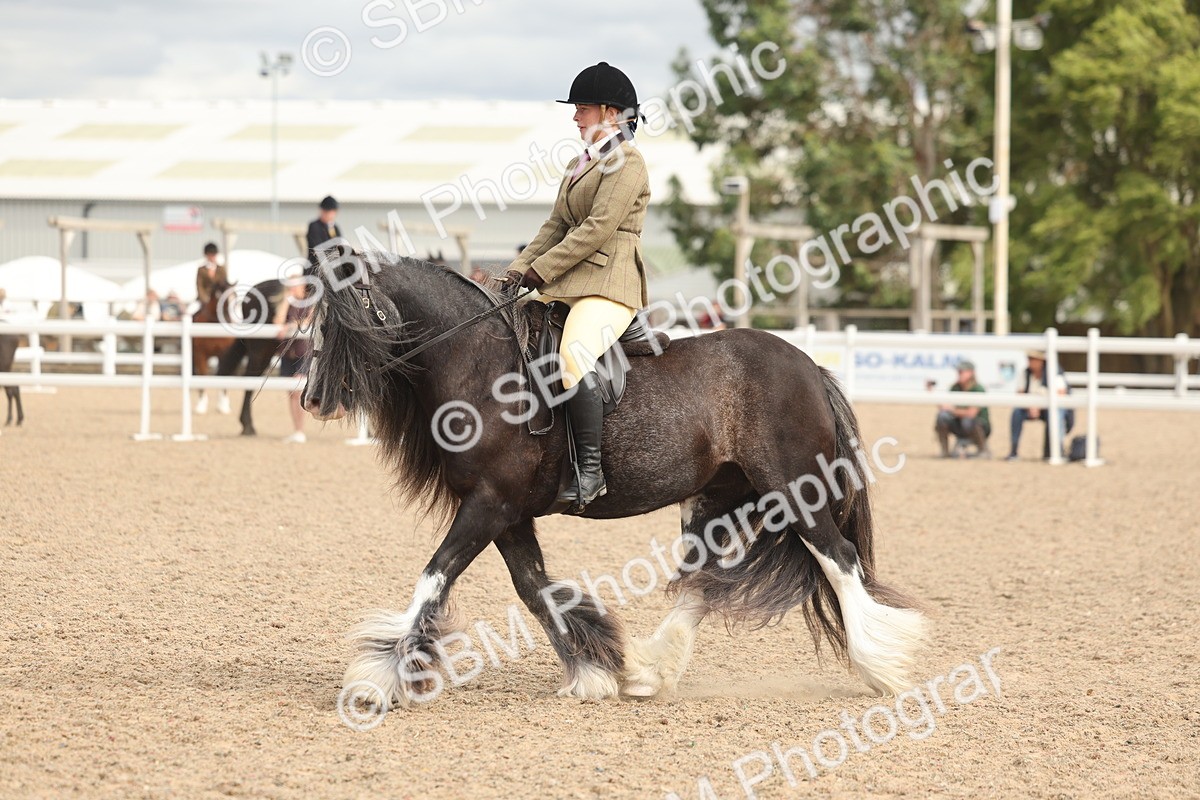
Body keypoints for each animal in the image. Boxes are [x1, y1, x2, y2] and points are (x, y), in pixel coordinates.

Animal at [191, 280, 234, 416]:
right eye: (219, 295)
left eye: (234, 296)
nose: (227, 319)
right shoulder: (200, 355)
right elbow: (203, 375)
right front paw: (201, 405)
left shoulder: (224, 355)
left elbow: (223, 374)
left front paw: (223, 406)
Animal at [302, 254, 927, 709]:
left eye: (339, 322)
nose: (312, 400)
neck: (482, 365)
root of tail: (809, 367)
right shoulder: (508, 513)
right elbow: (534, 588)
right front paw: (592, 670)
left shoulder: (489, 505)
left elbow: (435, 577)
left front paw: (377, 680)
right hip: (717, 501)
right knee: (703, 582)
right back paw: (650, 674)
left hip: (795, 491)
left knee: (839, 559)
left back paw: (883, 665)